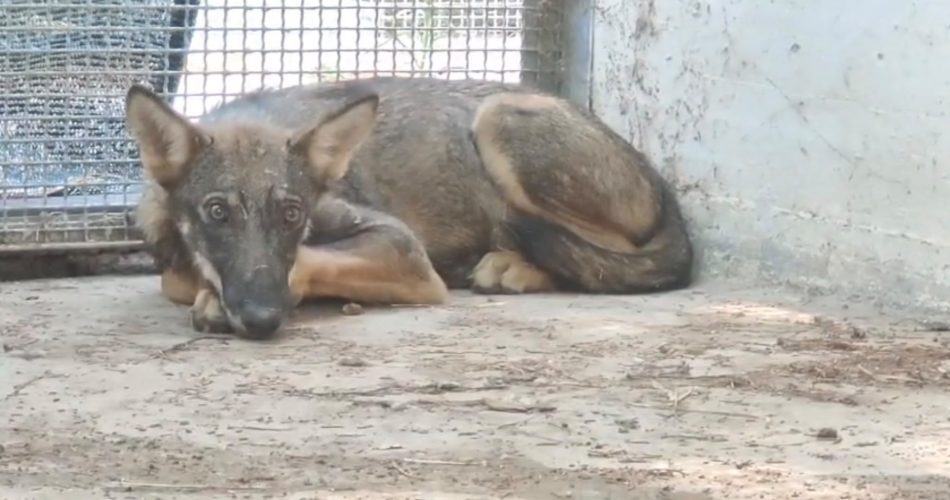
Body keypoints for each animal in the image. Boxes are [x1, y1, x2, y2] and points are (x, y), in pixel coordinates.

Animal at [125, 77, 694, 340]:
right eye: (217, 213)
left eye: (292, 215)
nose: (262, 319)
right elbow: (178, 276)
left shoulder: (400, 246)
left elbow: (308, 258)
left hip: (496, 121)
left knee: (598, 259)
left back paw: (511, 265)